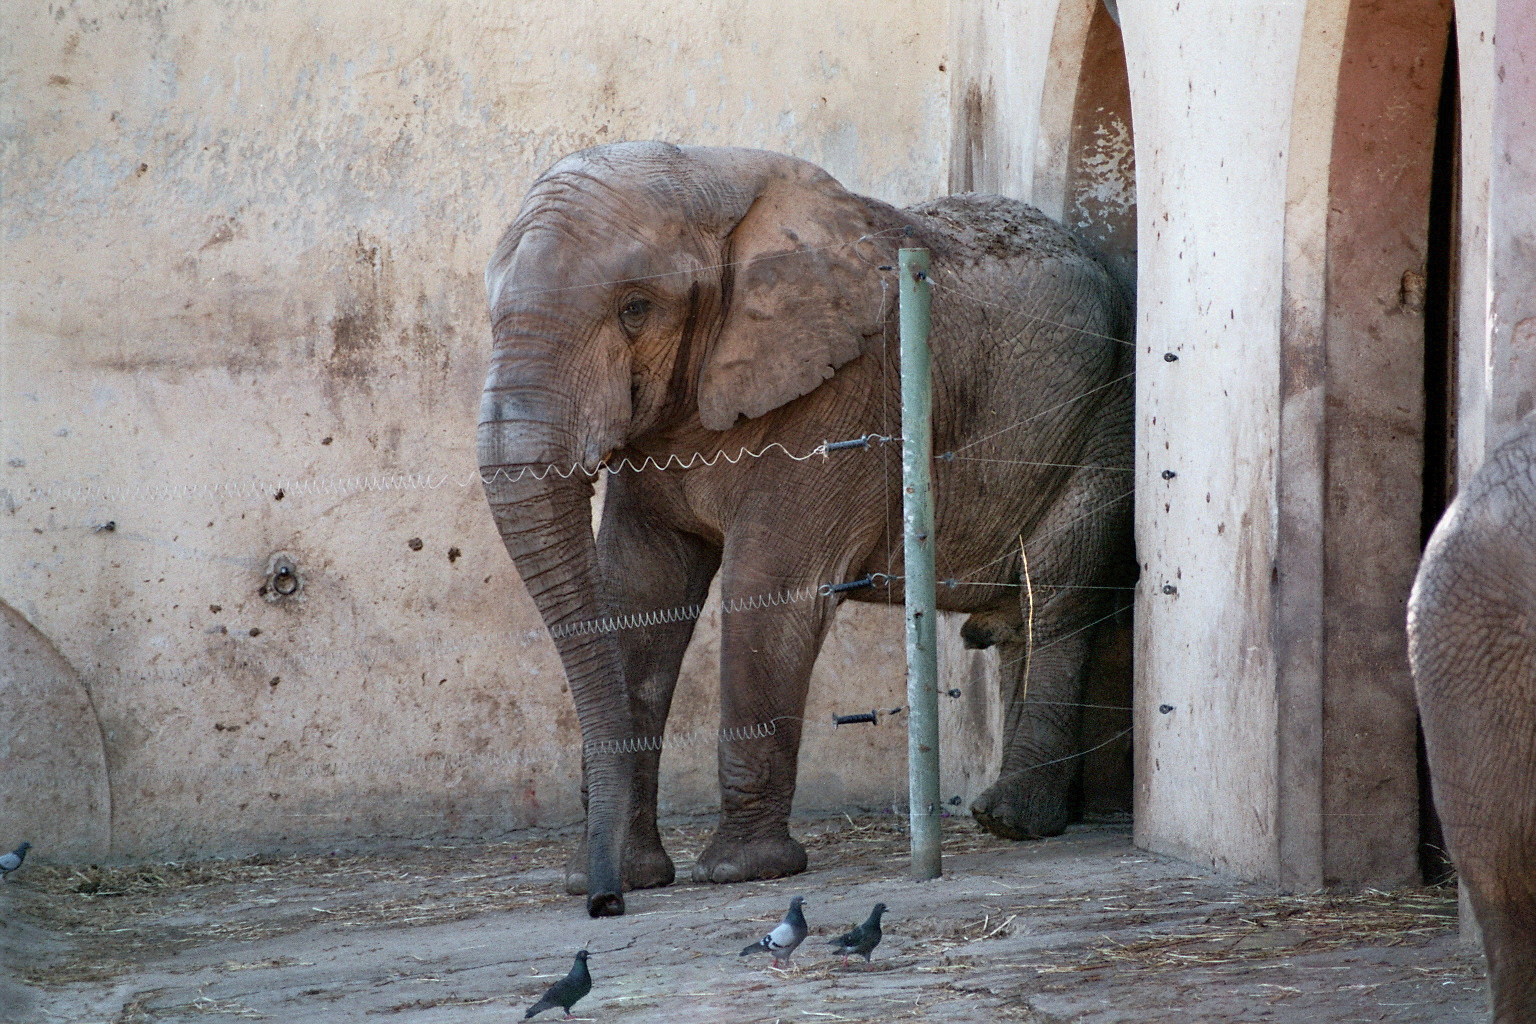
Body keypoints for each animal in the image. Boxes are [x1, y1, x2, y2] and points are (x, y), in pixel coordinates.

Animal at [477, 141, 1133, 917]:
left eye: (635, 310)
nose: (602, 904)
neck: (717, 184)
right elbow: (640, 593)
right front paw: (629, 876)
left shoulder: (844, 396)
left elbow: (770, 588)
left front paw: (743, 872)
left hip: (1105, 414)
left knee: (1054, 592)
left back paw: (1012, 821)